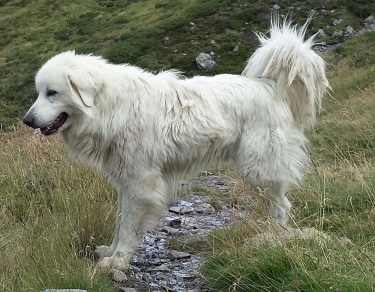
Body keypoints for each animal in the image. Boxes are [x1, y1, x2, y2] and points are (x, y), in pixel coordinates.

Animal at [23, 16, 328, 270]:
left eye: (52, 93)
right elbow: (120, 221)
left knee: (281, 207)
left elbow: (129, 226)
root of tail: (270, 87)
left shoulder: (140, 183)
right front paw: (110, 252)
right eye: (39, 92)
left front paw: (118, 260)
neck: (110, 107)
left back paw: (274, 241)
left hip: (259, 171)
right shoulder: (125, 182)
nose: (27, 120)